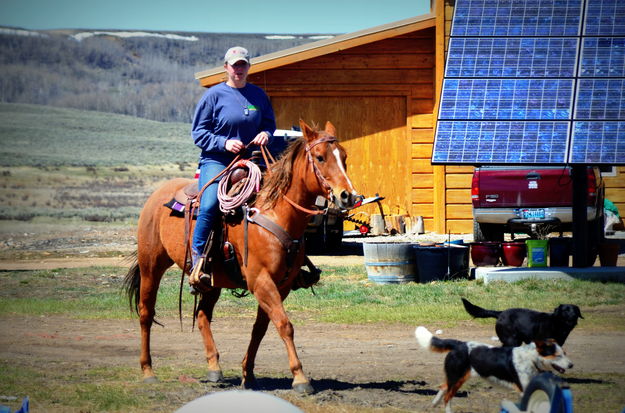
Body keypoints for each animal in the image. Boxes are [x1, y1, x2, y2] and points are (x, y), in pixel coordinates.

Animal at [122, 120, 360, 392]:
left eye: (344, 156)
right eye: (320, 157)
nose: (348, 195)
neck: (276, 212)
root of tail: (158, 193)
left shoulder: (281, 285)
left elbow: (261, 328)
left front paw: (248, 374)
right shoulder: (261, 281)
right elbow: (284, 325)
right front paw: (300, 378)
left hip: (211, 280)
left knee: (202, 315)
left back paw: (214, 368)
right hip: (151, 266)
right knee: (146, 313)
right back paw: (148, 370)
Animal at [414, 326, 572, 412]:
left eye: (565, 353)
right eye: (557, 355)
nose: (571, 365)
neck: (531, 358)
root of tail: (459, 344)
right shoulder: (524, 390)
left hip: (455, 377)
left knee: (443, 387)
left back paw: (434, 404)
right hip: (457, 378)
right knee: (447, 397)